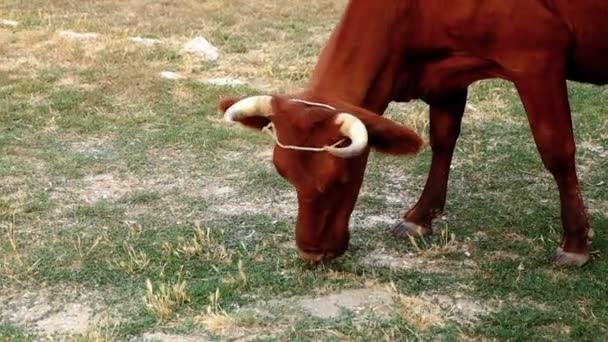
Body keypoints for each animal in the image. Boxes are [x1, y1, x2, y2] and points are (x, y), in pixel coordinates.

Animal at [220, 0, 608, 268]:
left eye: (340, 178)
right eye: (285, 175)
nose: (311, 253)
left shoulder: (536, 60)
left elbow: (556, 150)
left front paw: (575, 241)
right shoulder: (447, 76)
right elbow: (443, 140)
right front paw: (420, 217)